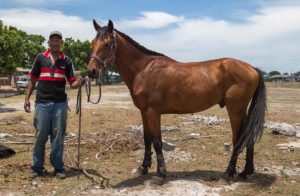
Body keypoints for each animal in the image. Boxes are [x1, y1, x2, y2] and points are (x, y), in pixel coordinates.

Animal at [87, 19, 268, 182]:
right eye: (93, 43)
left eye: (107, 44)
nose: (91, 71)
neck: (144, 70)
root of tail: (252, 68)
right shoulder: (144, 112)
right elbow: (147, 139)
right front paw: (144, 167)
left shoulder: (153, 112)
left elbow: (157, 141)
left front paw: (160, 174)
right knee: (248, 137)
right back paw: (246, 172)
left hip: (235, 109)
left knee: (239, 138)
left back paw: (229, 172)